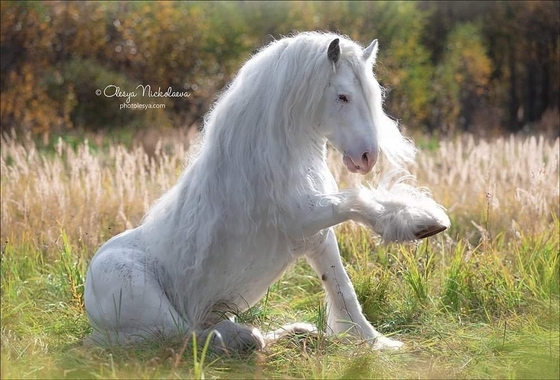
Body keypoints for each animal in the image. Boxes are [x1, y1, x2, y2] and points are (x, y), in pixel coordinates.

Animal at [84, 32, 450, 354]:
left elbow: (341, 286)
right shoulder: (300, 218)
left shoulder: (317, 236)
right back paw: (238, 340)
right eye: (343, 96)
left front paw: (374, 342)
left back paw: (295, 333)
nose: (367, 157)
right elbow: (355, 199)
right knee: (182, 334)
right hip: (145, 298)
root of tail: (89, 290)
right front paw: (421, 221)